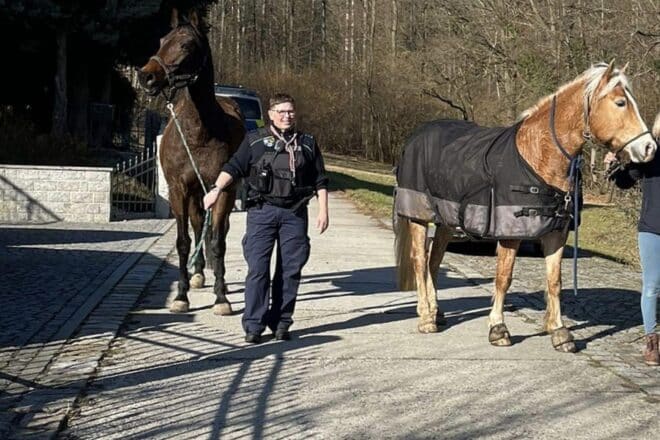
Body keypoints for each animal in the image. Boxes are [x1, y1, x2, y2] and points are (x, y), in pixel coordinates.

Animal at [137, 9, 245, 315]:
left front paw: (221, 298)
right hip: (195, 193)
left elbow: (218, 242)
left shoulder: (223, 190)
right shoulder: (178, 190)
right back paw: (197, 274)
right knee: (198, 225)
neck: (199, 132)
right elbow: (184, 241)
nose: (146, 76)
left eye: (186, 45)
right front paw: (181, 295)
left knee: (215, 231)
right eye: (162, 40)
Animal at [394, 62, 657, 352]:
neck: (538, 156)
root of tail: (416, 136)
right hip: (419, 217)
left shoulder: (556, 233)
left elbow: (554, 281)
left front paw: (560, 332)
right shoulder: (510, 233)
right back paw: (426, 317)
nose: (649, 148)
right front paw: (498, 329)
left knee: (434, 260)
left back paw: (436, 311)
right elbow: (504, 277)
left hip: (446, 221)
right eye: (620, 102)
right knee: (420, 261)